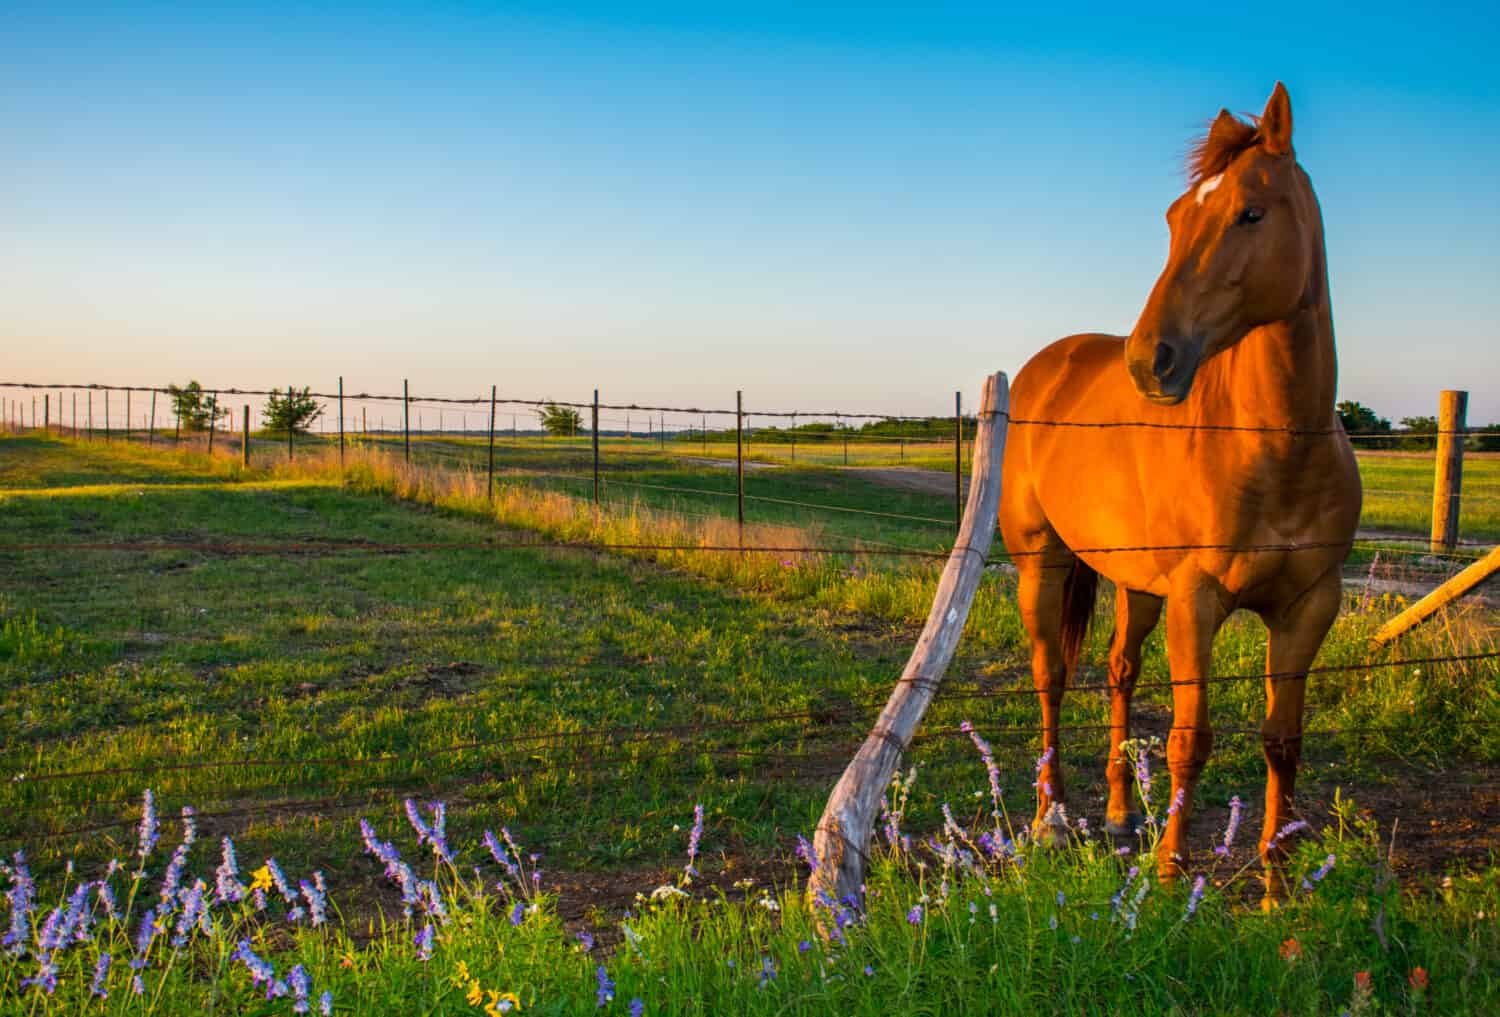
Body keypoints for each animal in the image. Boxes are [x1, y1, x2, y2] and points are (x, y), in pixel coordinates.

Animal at [1002, 85, 1368, 900]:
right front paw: (1172, 876)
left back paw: (1115, 814)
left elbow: (1282, 739)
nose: (1150, 361)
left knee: (1117, 673)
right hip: (1042, 564)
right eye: (1174, 219)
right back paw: (1050, 819)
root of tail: (1049, 363)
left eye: (1251, 213)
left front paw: (1276, 883)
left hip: (1138, 584)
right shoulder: (1197, 600)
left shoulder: (1309, 605)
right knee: (1050, 677)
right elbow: (1188, 739)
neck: (1272, 447)